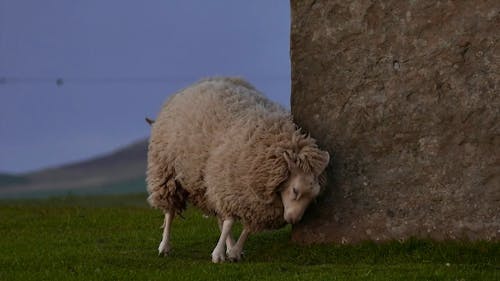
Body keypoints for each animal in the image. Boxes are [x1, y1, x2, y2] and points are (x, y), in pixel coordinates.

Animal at [146, 77, 330, 262]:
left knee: (219, 216)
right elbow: (229, 222)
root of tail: (202, 82)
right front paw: (218, 254)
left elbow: (245, 226)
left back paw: (229, 245)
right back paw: (164, 246)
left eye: (313, 197)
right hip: (166, 171)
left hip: (207, 184)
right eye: (295, 190)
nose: (294, 220)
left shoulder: (253, 199)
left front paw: (234, 251)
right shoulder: (231, 185)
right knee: (170, 211)